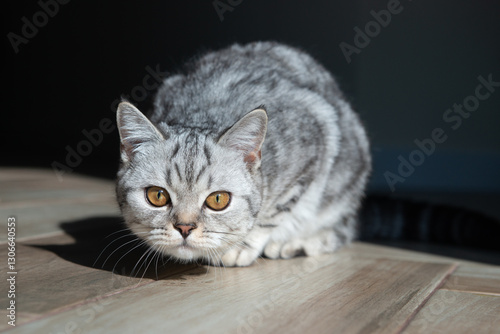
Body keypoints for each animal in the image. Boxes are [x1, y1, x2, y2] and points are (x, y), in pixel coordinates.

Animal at [114, 41, 372, 266]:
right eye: (157, 196)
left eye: (218, 200)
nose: (184, 227)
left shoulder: (313, 149)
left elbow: (272, 213)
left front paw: (240, 246)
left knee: (342, 230)